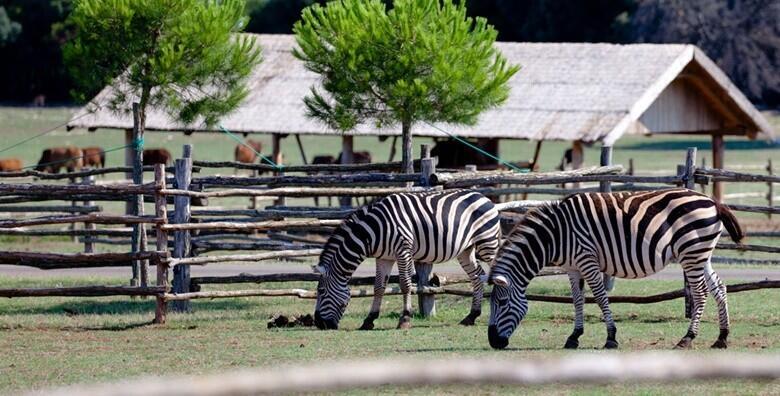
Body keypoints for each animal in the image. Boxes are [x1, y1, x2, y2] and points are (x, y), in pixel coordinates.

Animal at [310, 189, 500, 332]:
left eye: (321, 291)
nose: (319, 324)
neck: (373, 231)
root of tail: (484, 197)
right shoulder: (384, 257)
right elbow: (378, 287)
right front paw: (369, 320)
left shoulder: (403, 250)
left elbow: (405, 284)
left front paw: (405, 320)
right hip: (466, 250)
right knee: (477, 277)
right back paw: (471, 316)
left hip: (488, 243)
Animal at [488, 189, 744, 350]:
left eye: (501, 303)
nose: (493, 343)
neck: (555, 237)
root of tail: (712, 201)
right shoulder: (572, 267)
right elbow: (577, 300)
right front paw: (574, 337)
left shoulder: (586, 259)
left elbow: (601, 298)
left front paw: (611, 337)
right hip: (701, 254)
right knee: (719, 288)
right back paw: (722, 338)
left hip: (691, 252)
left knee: (700, 293)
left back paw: (687, 338)